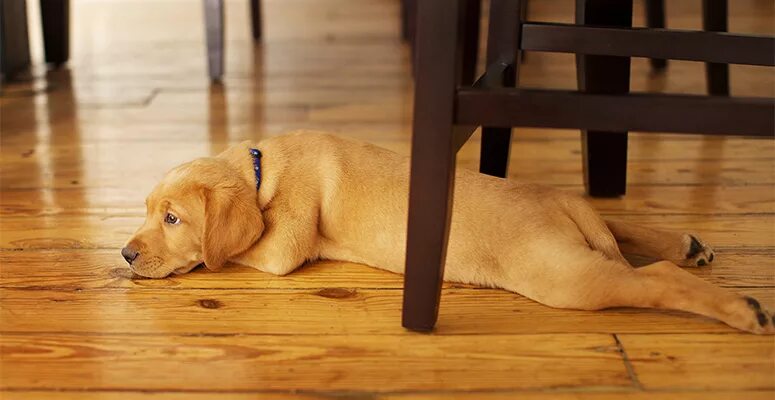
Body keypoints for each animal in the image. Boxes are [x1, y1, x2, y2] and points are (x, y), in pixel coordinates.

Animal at [124, 130, 772, 334]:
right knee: (623, 226)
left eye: (173, 219)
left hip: (565, 275)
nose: (126, 254)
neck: (261, 168)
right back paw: (685, 244)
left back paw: (742, 310)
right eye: (149, 210)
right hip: (577, 230)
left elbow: (231, 253)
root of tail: (560, 205)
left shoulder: (282, 247)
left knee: (647, 278)